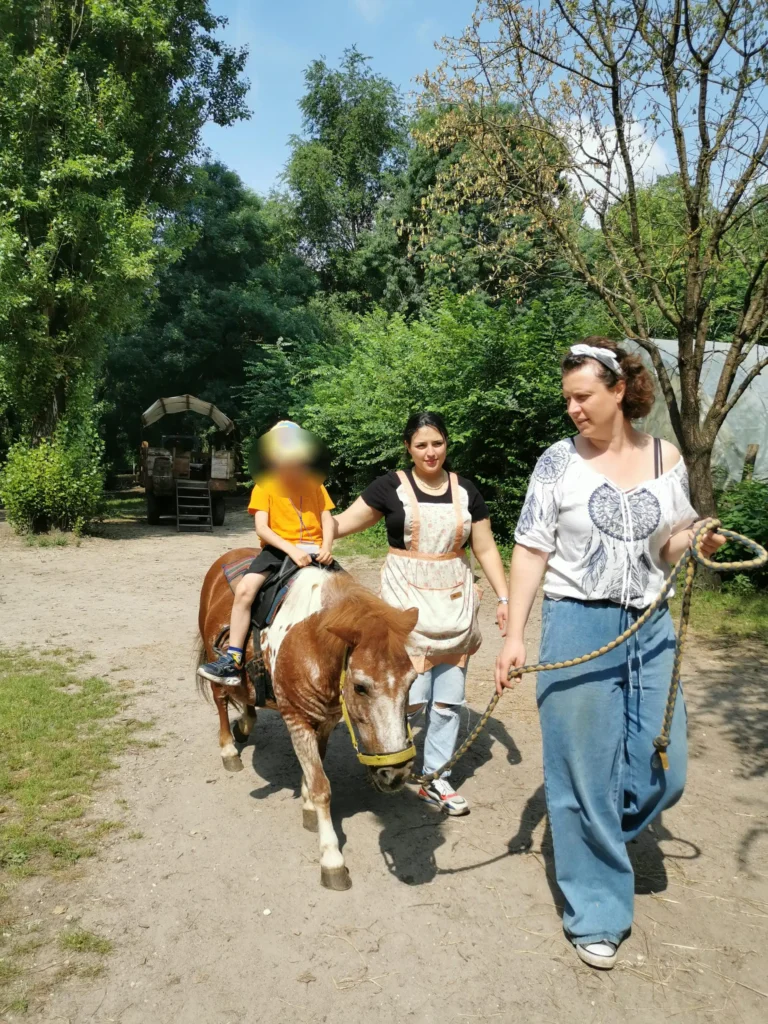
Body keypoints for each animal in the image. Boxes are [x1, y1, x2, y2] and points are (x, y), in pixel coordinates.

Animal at [197, 548, 419, 889]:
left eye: (411, 681)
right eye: (360, 686)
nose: (395, 774)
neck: (310, 642)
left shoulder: (325, 720)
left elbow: (314, 768)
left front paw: (307, 806)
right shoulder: (297, 719)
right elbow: (321, 786)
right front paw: (331, 858)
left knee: (246, 702)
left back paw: (244, 725)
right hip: (215, 665)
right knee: (221, 701)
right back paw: (229, 749)